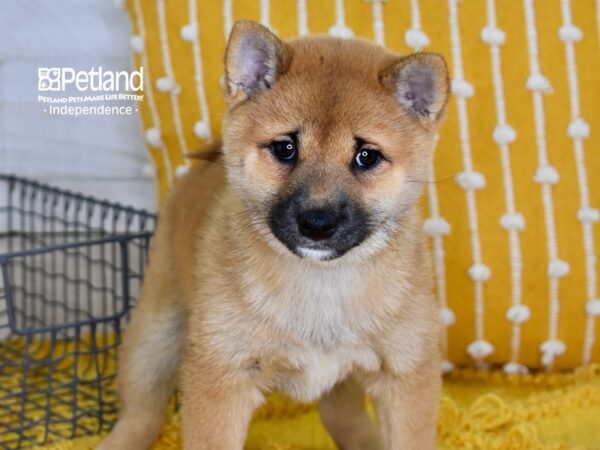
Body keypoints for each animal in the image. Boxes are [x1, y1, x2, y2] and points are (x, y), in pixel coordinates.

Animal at [99, 19, 450, 450]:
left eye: (366, 156)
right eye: (285, 148)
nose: (317, 223)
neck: (322, 286)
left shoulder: (405, 371)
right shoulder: (222, 374)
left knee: (343, 418)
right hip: (154, 339)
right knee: (140, 416)